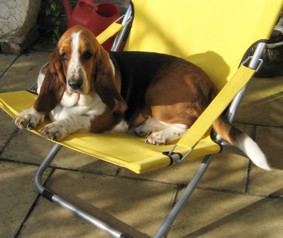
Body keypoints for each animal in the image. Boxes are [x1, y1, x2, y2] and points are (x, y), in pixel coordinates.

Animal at [14, 25, 272, 171]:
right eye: (64, 55)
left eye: (88, 55)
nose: (75, 84)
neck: (73, 99)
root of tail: (210, 85)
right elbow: (41, 104)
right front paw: (30, 114)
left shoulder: (101, 118)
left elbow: (73, 119)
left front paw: (56, 127)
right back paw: (147, 128)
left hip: (158, 93)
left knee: (192, 123)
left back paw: (160, 135)